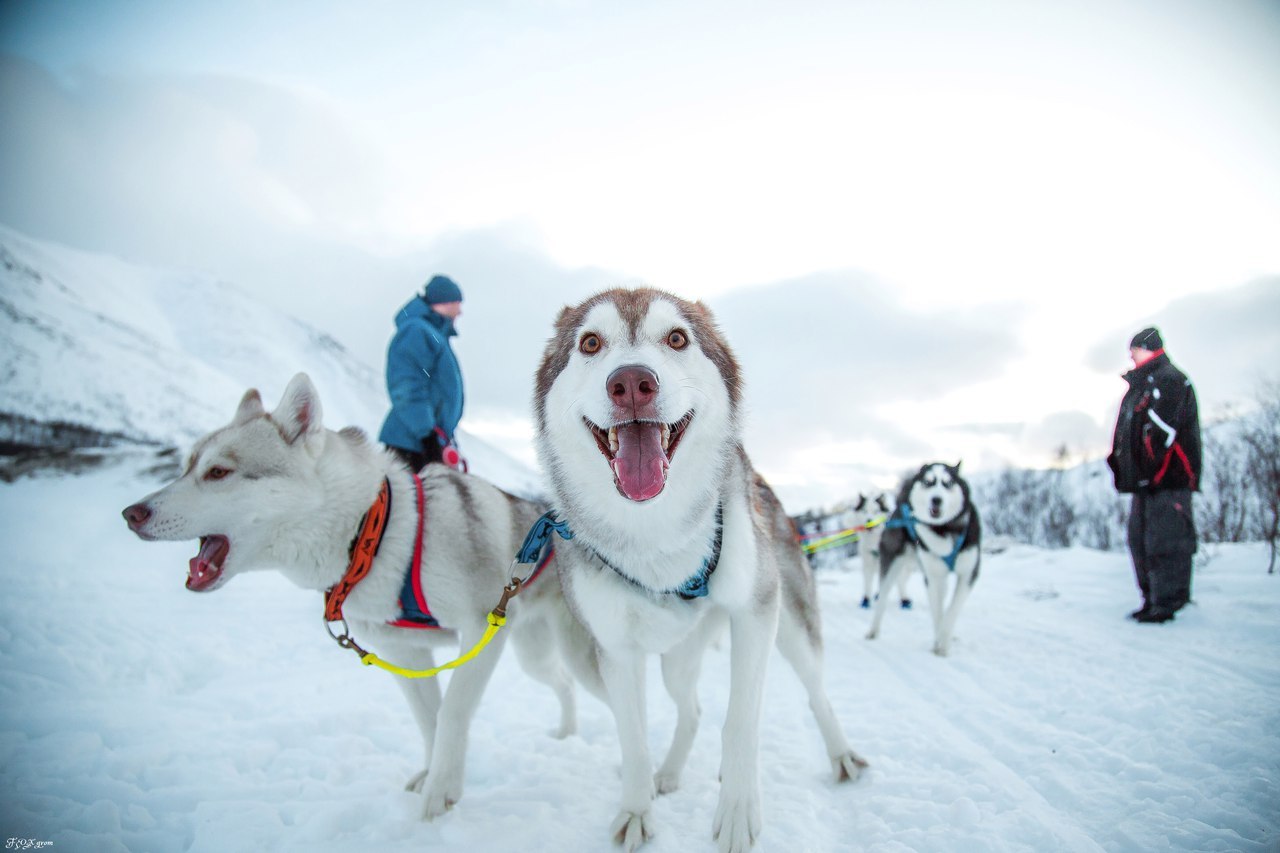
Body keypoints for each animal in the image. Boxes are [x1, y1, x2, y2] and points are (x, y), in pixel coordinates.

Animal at [122, 371, 583, 819]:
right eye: (186, 467)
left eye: (218, 472)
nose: (131, 513)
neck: (374, 536)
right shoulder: (405, 653)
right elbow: (429, 718)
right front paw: (431, 773)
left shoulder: (480, 631)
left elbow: (452, 710)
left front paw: (441, 790)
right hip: (532, 654)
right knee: (562, 682)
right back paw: (565, 735)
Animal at [529, 286, 870, 850]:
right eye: (590, 343)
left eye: (677, 338)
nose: (632, 383)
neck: (658, 537)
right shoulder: (617, 651)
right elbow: (633, 738)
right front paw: (637, 809)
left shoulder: (754, 613)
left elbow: (741, 721)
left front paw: (737, 812)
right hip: (675, 659)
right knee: (690, 711)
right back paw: (668, 773)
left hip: (790, 624)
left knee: (815, 691)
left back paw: (841, 754)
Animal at [865, 461, 983, 653]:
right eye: (928, 482)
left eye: (947, 483)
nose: (936, 499)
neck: (943, 529)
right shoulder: (933, 577)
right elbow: (938, 612)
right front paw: (939, 643)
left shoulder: (968, 574)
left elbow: (952, 611)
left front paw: (943, 644)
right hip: (891, 563)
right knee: (882, 596)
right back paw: (873, 630)